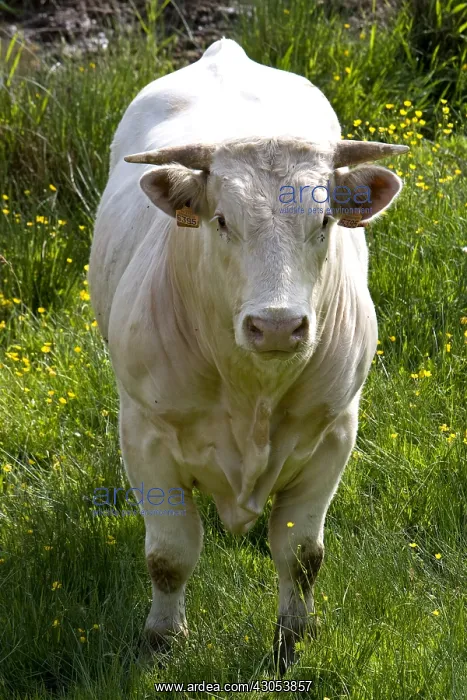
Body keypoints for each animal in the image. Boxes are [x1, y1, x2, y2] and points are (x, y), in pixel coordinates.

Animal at [88, 38, 407, 673]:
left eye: (326, 219)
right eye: (220, 220)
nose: (277, 325)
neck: (251, 392)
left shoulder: (334, 434)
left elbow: (302, 554)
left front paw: (292, 641)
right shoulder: (145, 436)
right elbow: (169, 554)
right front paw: (163, 640)